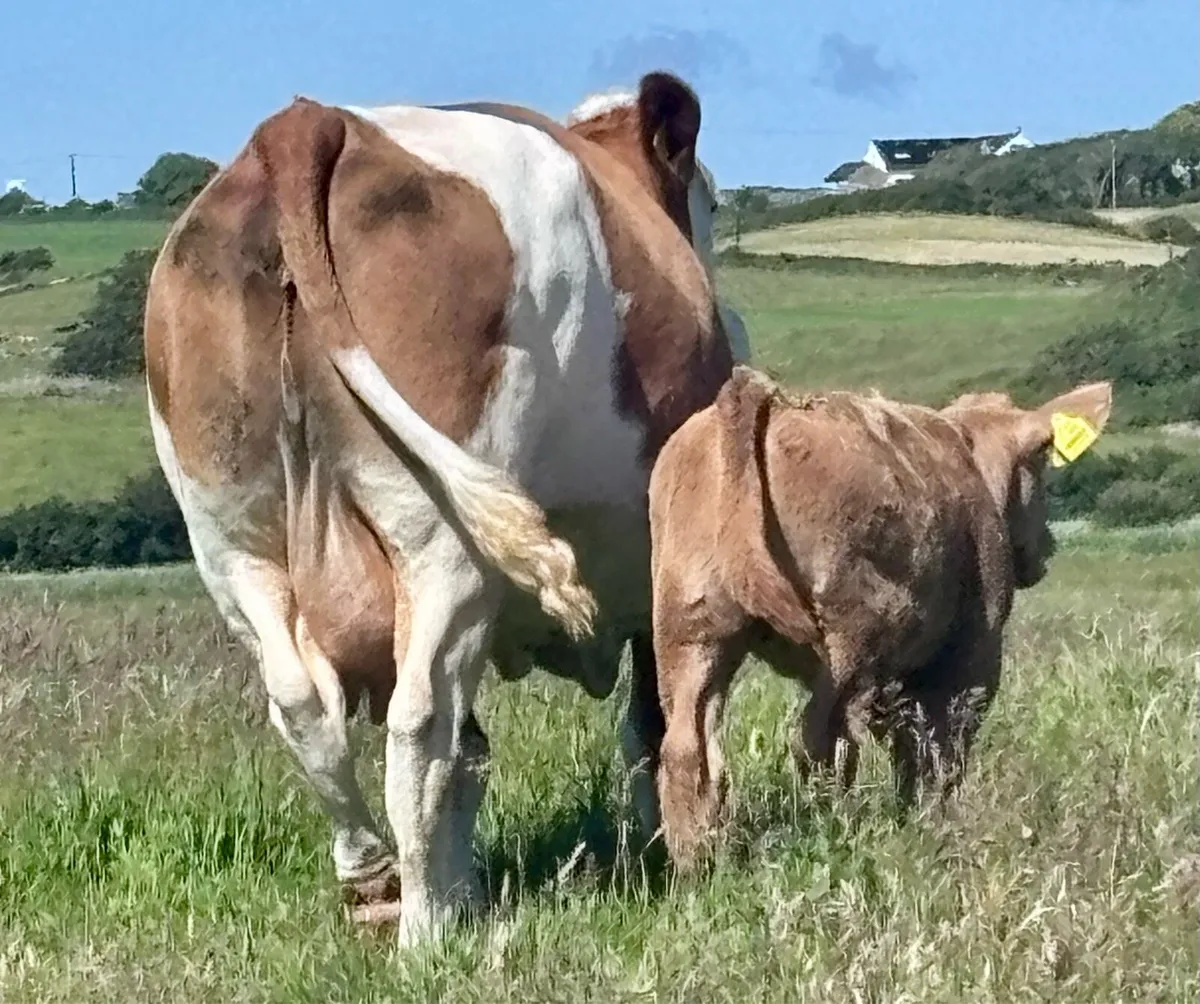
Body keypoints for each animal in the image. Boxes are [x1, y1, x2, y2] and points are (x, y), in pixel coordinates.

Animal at [143, 71, 738, 945]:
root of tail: (307, 126)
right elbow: (657, 724)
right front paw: (678, 855)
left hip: (231, 539)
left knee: (308, 709)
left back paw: (377, 884)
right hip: (441, 544)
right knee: (421, 723)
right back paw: (424, 933)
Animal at [647, 365, 1112, 868]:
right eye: (1042, 463)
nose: (1046, 546)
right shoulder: (972, 659)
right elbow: (940, 753)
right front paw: (934, 826)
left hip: (690, 631)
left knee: (688, 752)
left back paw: (699, 864)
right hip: (849, 641)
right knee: (820, 741)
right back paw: (828, 830)